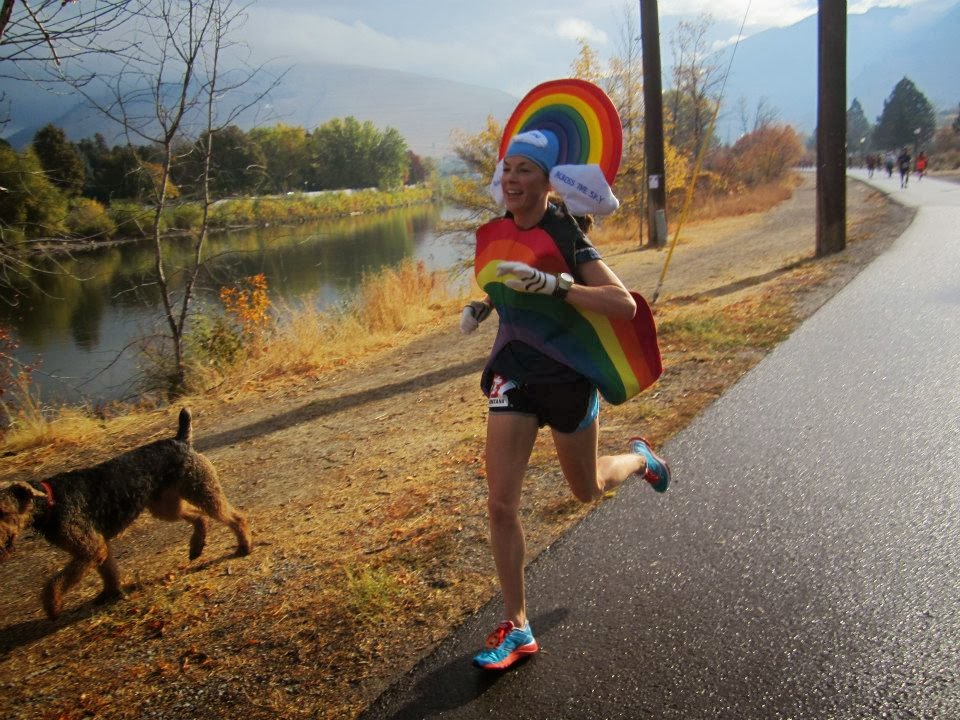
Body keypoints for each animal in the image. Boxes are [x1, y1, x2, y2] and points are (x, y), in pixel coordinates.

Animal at [0, 408, 251, 620]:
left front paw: (52, 607)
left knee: (235, 517)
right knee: (198, 517)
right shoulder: (98, 546)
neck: (50, 501)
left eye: (3, 511)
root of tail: (179, 439)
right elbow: (108, 571)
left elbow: (54, 583)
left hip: (200, 490)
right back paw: (196, 546)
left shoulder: (90, 549)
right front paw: (110, 594)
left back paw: (244, 546)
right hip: (165, 505)